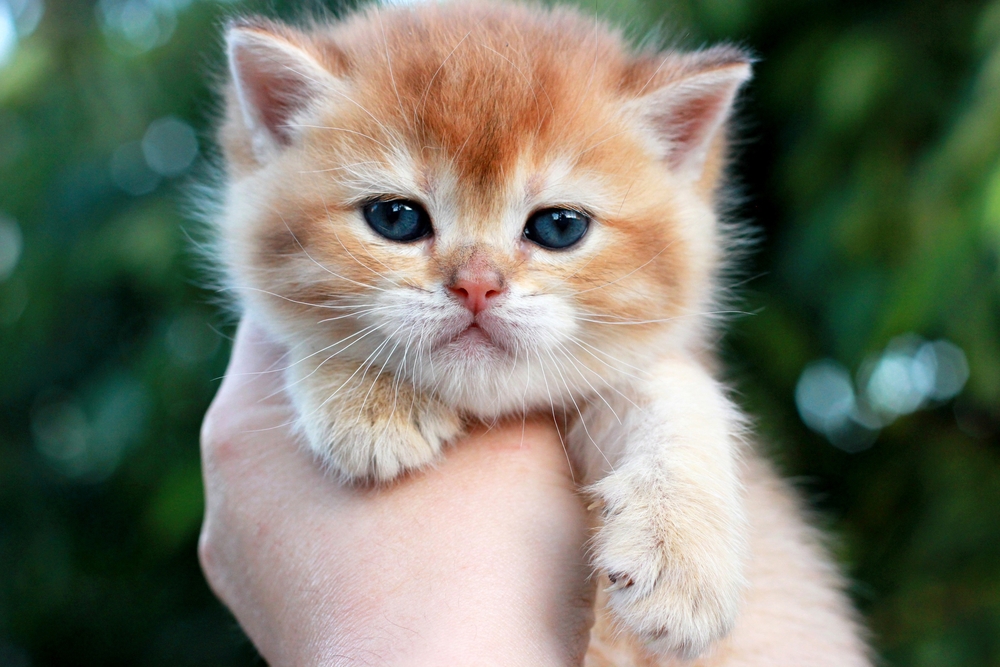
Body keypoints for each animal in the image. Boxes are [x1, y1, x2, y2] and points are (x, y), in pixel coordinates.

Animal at [213, 2, 876, 664]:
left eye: (559, 227)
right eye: (395, 218)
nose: (477, 285)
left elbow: (676, 391)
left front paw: (681, 552)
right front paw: (368, 399)